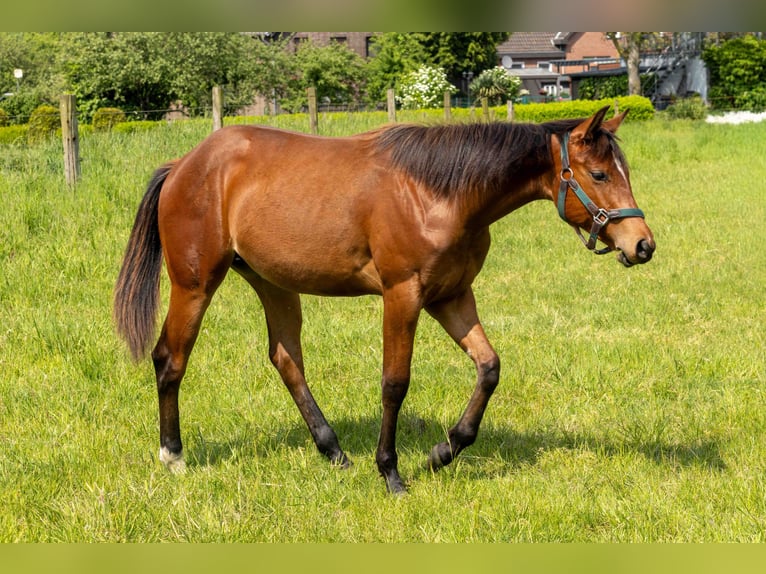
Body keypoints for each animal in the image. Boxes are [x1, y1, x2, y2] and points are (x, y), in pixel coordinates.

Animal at [114, 105, 655, 494]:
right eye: (600, 175)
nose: (642, 245)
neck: (439, 191)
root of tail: (183, 165)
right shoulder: (403, 296)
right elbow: (395, 383)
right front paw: (391, 472)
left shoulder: (452, 297)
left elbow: (489, 368)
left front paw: (443, 452)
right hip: (195, 285)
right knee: (170, 360)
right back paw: (173, 456)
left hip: (274, 283)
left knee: (286, 359)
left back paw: (333, 451)